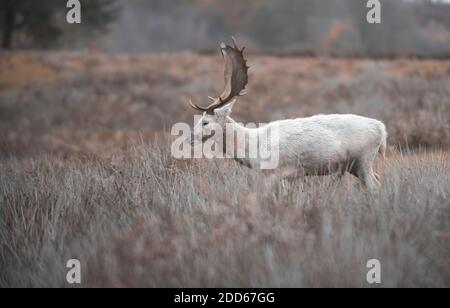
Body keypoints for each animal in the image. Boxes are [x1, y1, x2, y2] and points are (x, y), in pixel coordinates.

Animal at [190, 38, 386, 188]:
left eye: (205, 121)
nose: (190, 138)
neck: (252, 148)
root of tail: (382, 129)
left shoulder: (273, 172)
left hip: (363, 159)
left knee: (374, 185)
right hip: (354, 165)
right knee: (378, 180)